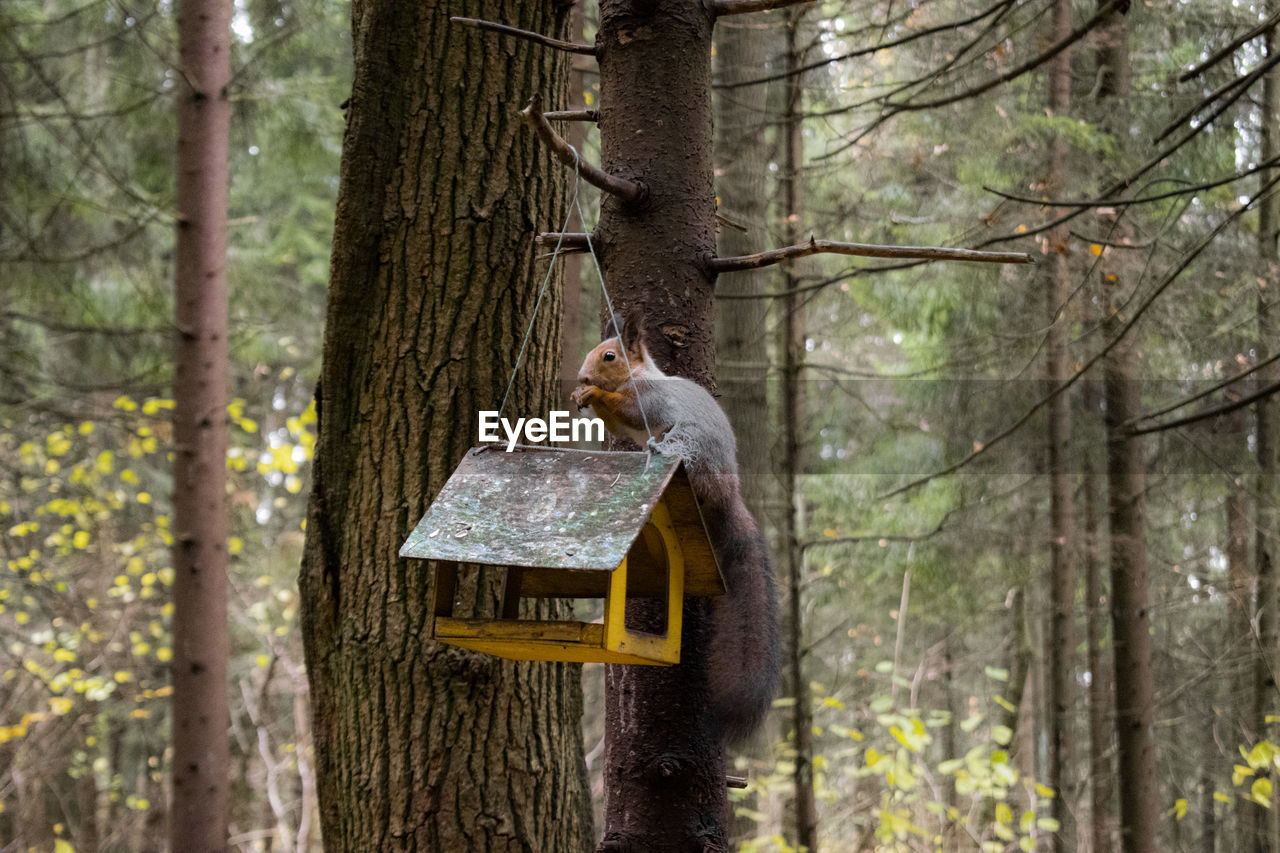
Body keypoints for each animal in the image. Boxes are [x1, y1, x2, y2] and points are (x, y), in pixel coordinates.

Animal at [570, 311, 778, 737]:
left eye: (610, 356)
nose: (582, 377)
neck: (639, 375)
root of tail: (728, 491)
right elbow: (617, 425)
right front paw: (580, 397)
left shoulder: (648, 401)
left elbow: (627, 411)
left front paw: (594, 394)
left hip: (687, 447)